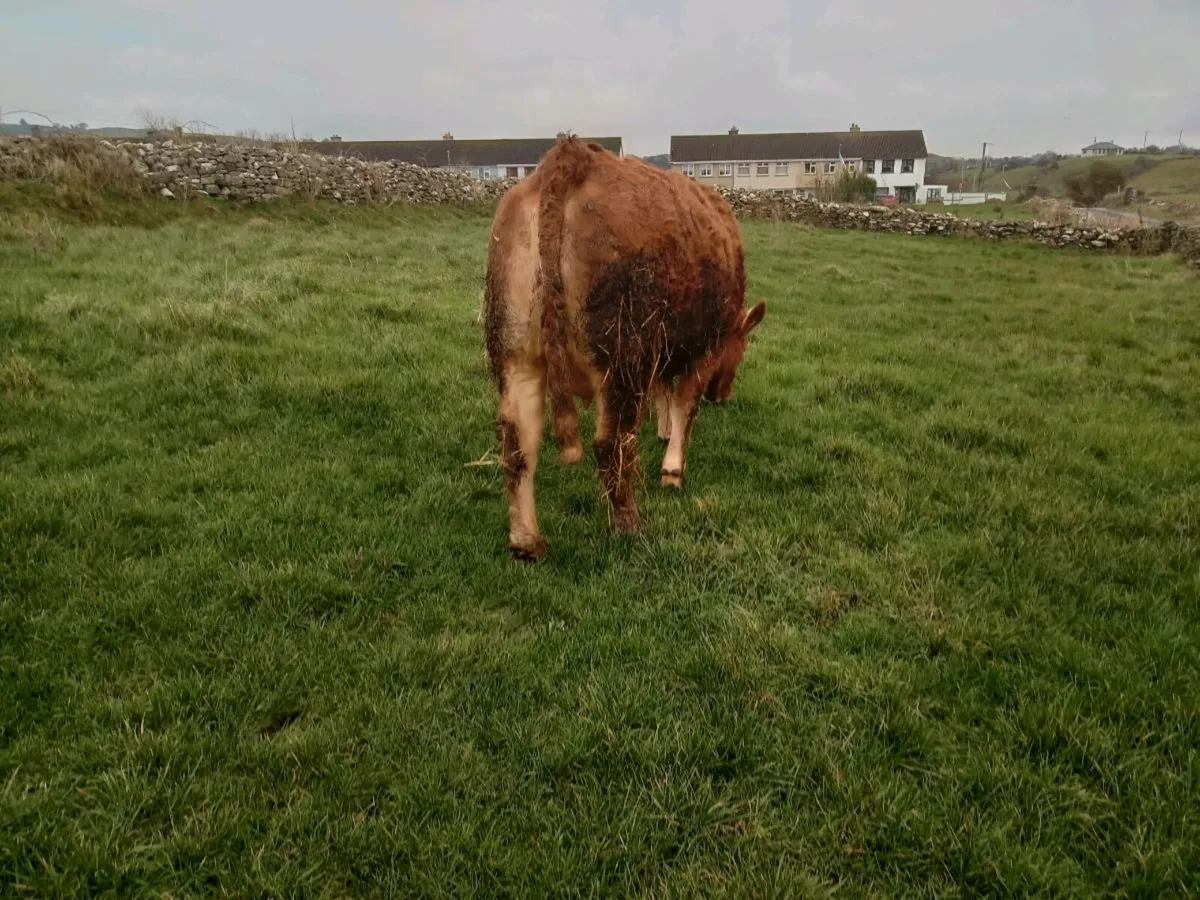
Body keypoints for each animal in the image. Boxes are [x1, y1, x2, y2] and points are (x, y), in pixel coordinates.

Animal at [483, 135, 766, 561]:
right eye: (742, 345)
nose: (723, 394)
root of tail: (568, 161)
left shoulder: (663, 348)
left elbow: (664, 393)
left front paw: (663, 431)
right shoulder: (702, 350)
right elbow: (685, 406)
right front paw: (673, 469)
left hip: (517, 356)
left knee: (518, 445)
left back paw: (527, 542)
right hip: (621, 359)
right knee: (611, 444)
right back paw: (629, 526)